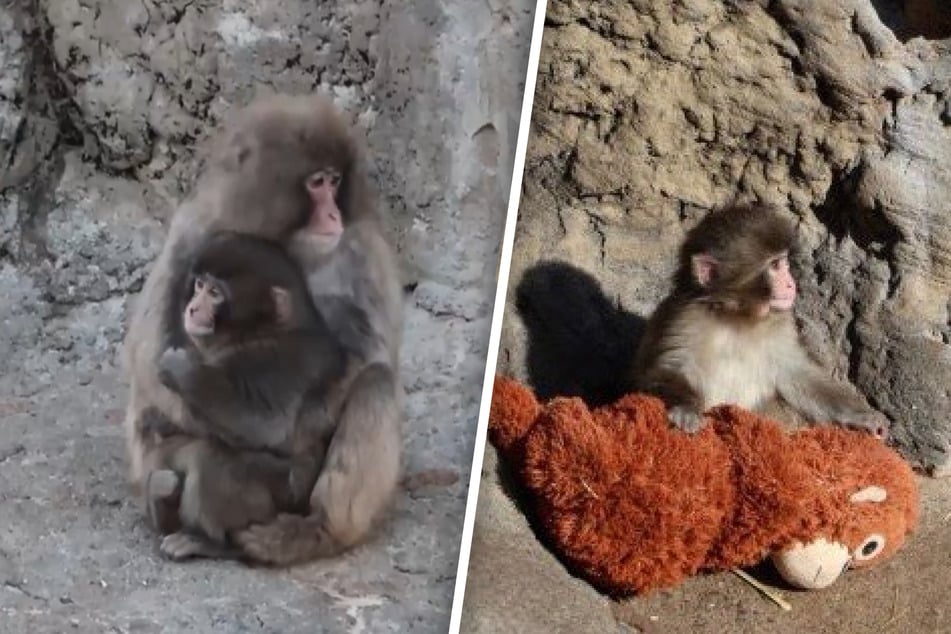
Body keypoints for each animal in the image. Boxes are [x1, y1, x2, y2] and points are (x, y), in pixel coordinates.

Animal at [122, 94, 403, 565]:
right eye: (316, 183)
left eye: (334, 180)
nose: (333, 212)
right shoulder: (193, 228)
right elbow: (148, 354)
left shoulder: (358, 248)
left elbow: (367, 354)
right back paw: (164, 505)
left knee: (375, 383)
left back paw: (315, 530)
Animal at [631, 203, 889, 439]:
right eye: (775, 266)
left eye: (783, 262)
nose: (791, 283)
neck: (737, 317)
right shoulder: (685, 319)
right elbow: (665, 369)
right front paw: (686, 408)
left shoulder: (781, 325)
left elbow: (797, 374)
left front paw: (863, 417)